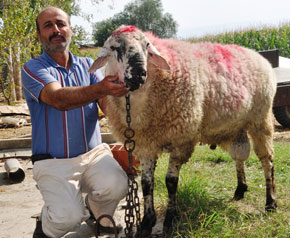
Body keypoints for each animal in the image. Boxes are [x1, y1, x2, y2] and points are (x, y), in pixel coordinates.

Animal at [89, 25, 278, 237]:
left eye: (147, 45)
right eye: (114, 47)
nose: (138, 73)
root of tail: (257, 55)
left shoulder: (181, 140)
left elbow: (171, 181)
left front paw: (169, 220)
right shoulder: (146, 144)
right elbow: (147, 183)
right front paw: (146, 222)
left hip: (261, 118)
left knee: (267, 160)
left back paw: (271, 202)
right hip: (236, 127)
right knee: (239, 157)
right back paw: (240, 189)